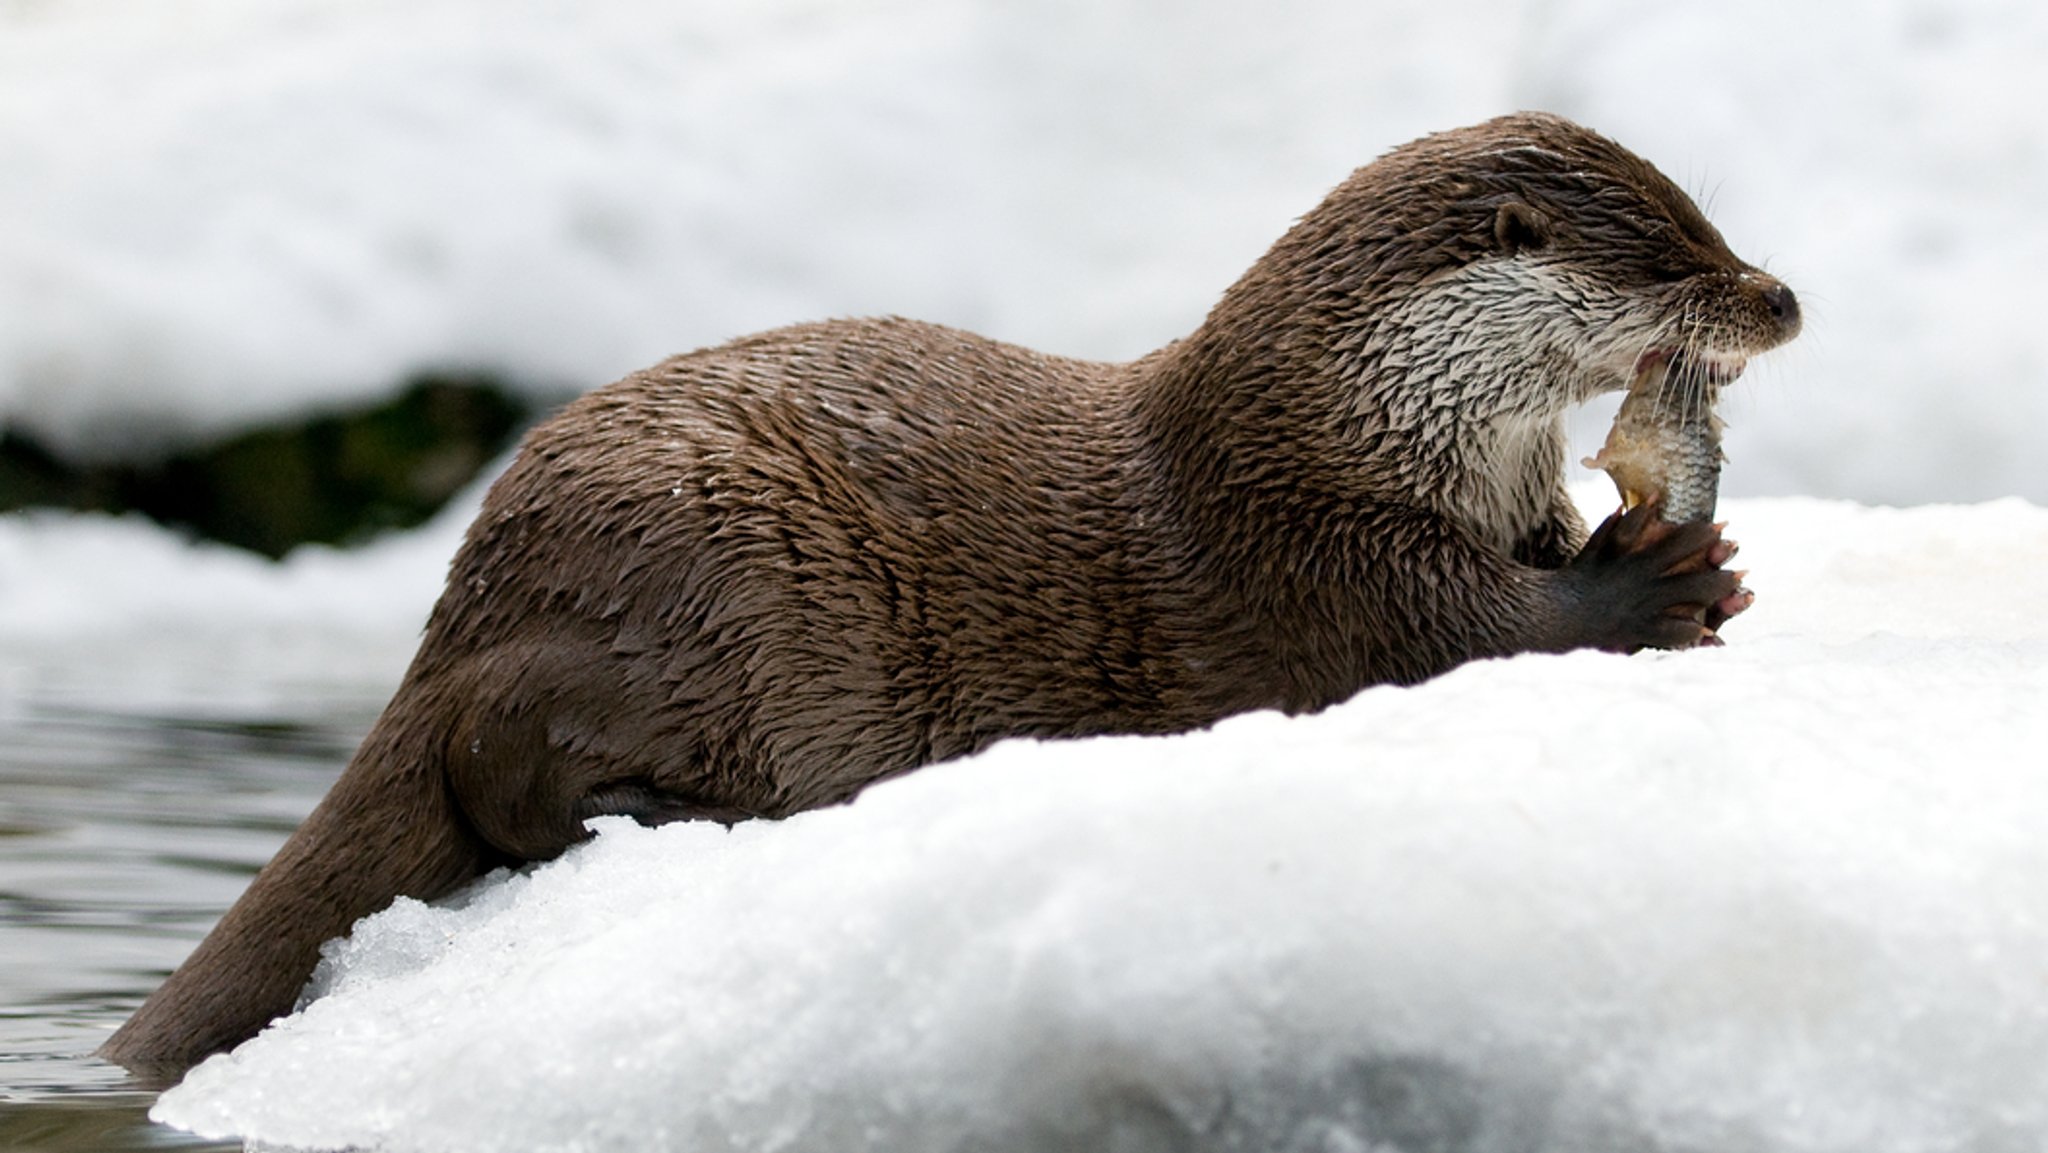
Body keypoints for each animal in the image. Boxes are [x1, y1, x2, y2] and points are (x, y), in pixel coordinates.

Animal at [99, 112, 1794, 1081]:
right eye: (1672, 250)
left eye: (1711, 222)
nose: (1779, 294)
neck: (1340, 425)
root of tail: (467, 592)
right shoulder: (1317, 551)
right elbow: (1466, 636)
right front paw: (1660, 579)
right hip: (713, 585)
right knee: (502, 776)